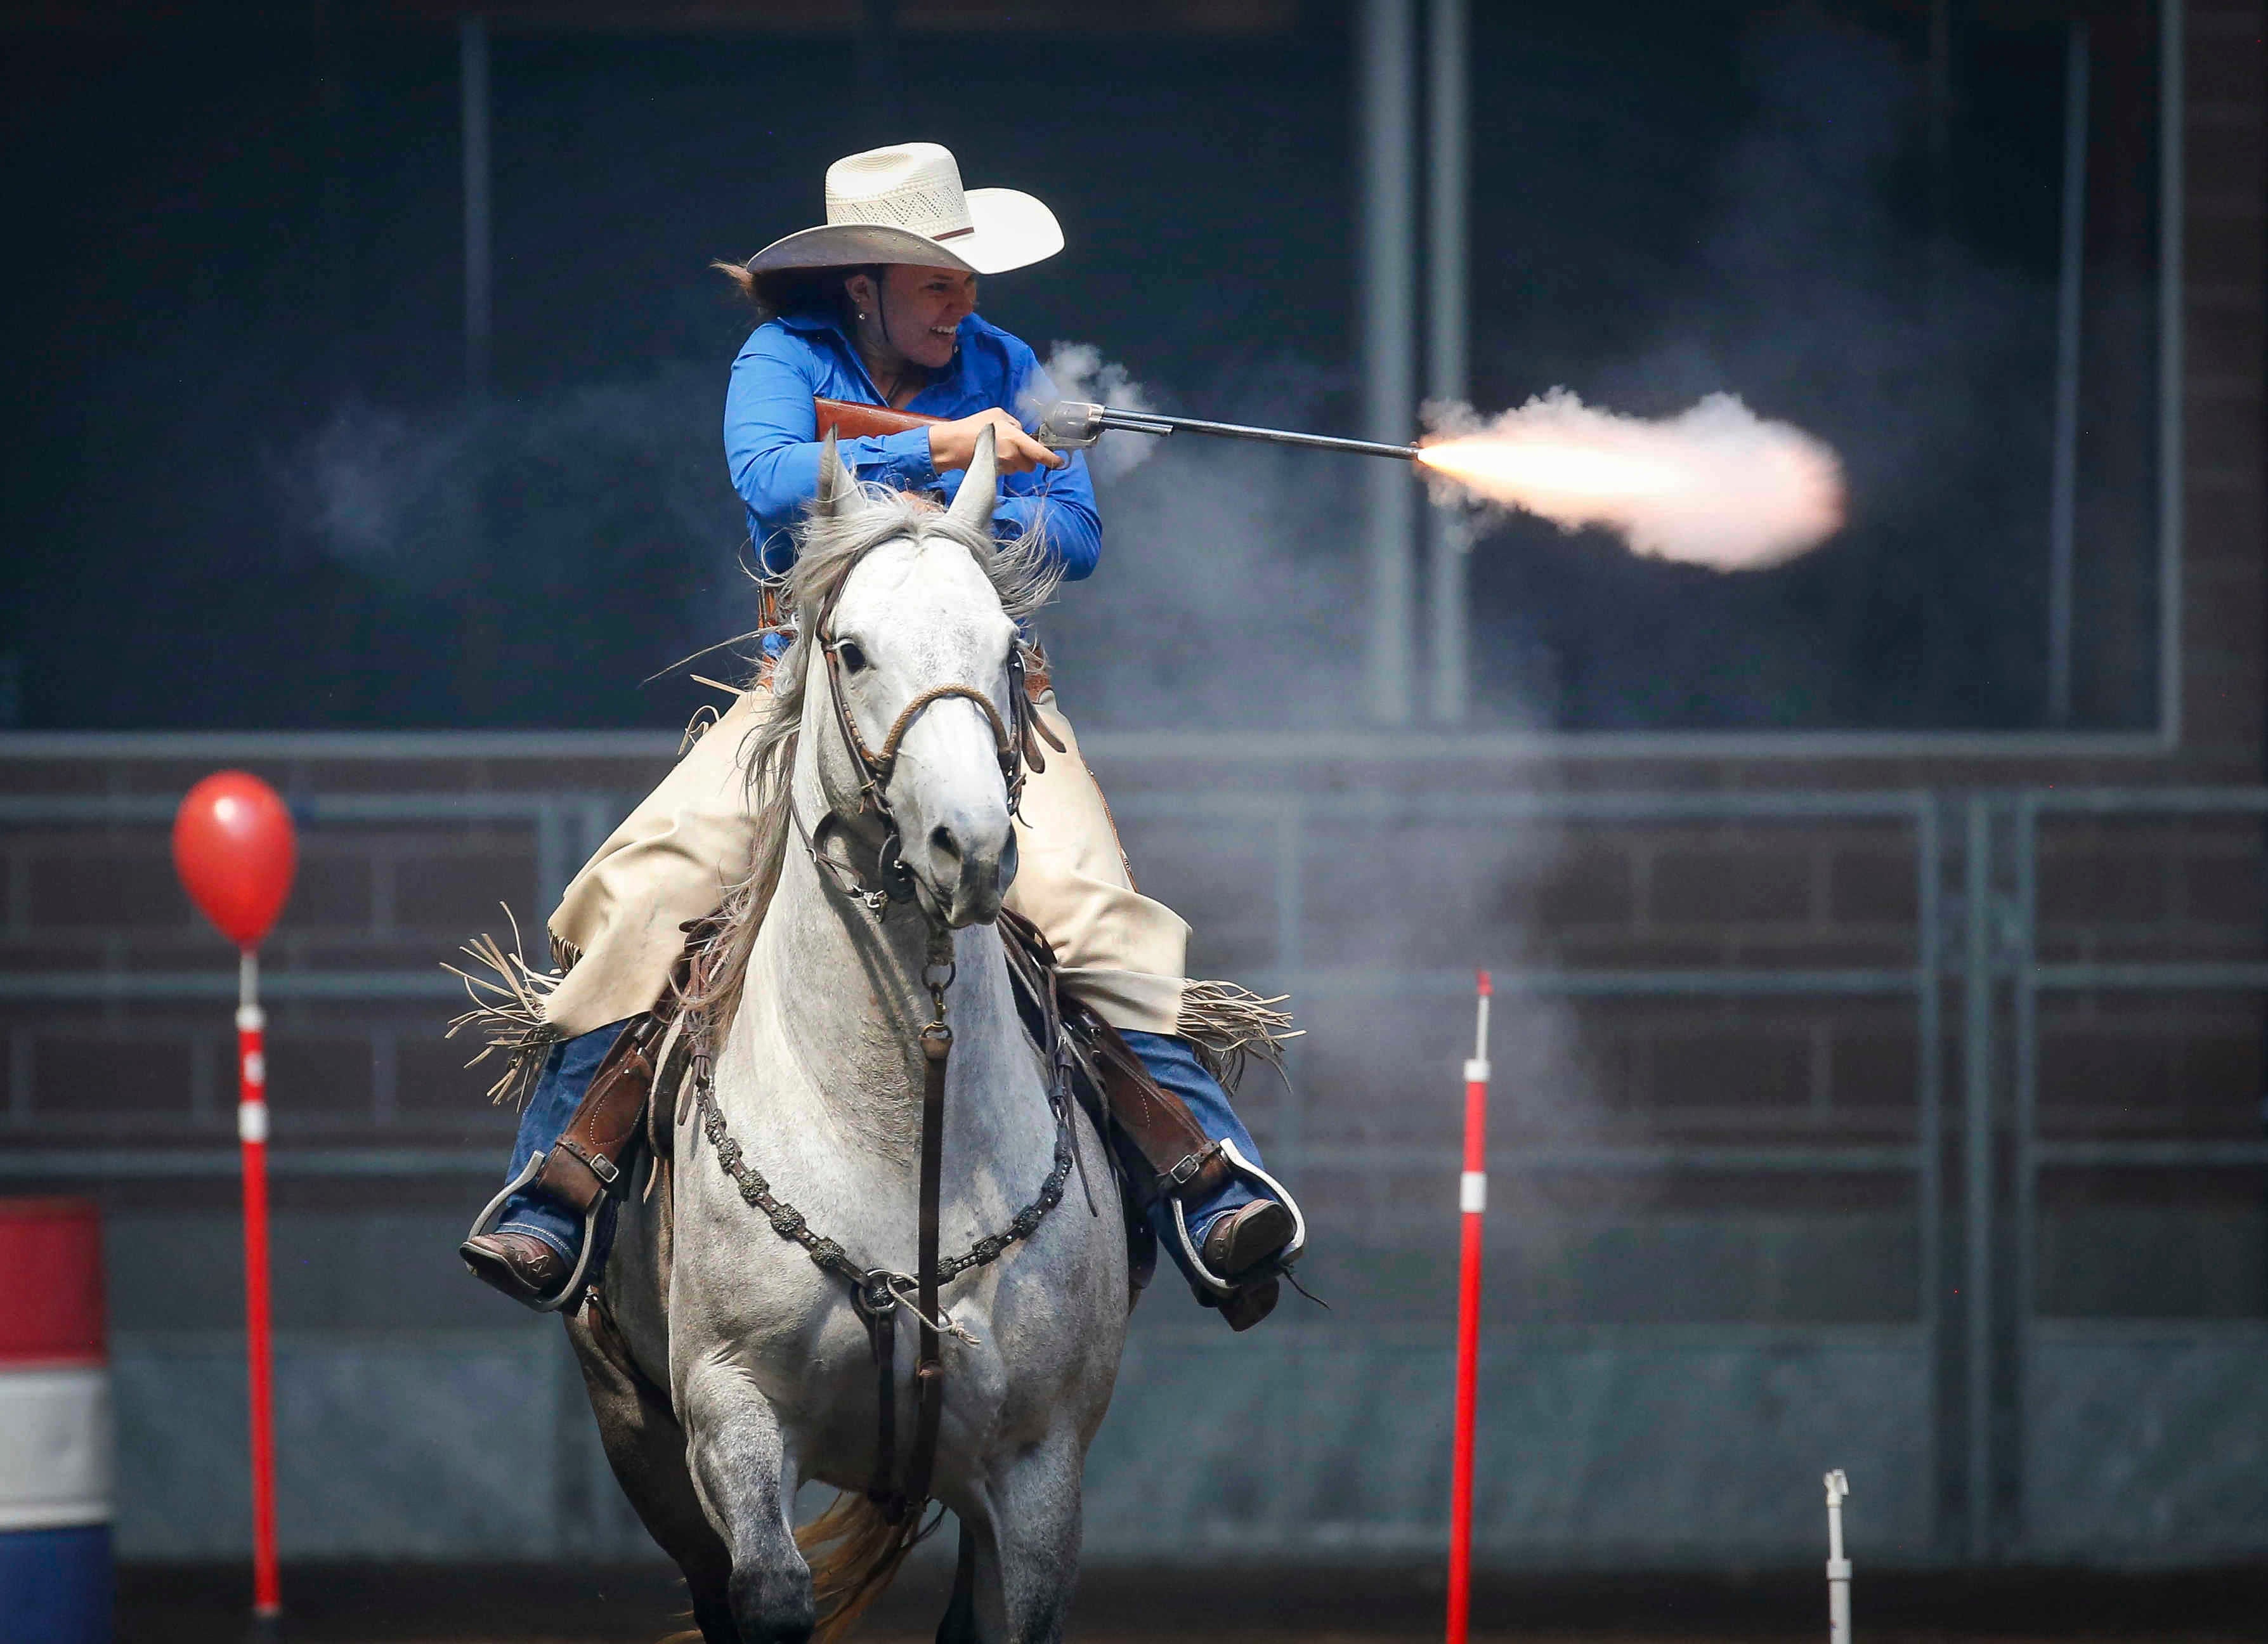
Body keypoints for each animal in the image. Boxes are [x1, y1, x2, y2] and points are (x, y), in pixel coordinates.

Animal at [567, 433, 1134, 1641]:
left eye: (1006, 648)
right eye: (855, 649)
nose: (970, 845)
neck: (895, 1121)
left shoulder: (1039, 1468)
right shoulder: (729, 1408)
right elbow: (772, 1592)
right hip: (631, 1421)